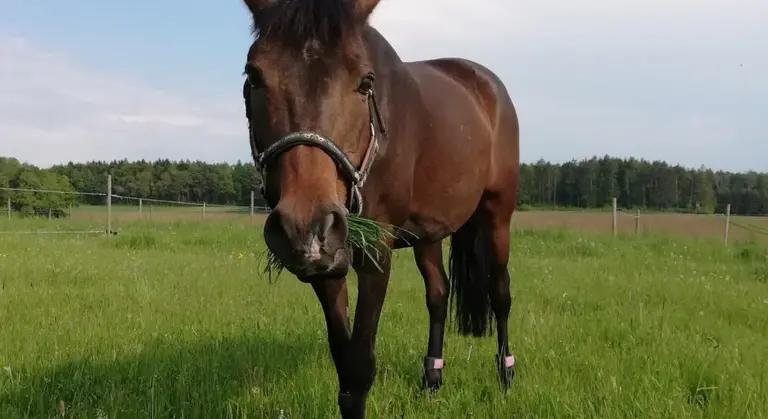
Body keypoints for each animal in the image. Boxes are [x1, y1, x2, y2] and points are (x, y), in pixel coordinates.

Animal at [240, 0, 520, 417]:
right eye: (254, 76)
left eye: (365, 82)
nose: (305, 226)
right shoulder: (328, 264)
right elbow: (345, 363)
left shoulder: (376, 253)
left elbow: (359, 369)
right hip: (427, 234)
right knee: (438, 295)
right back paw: (432, 379)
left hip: (498, 214)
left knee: (500, 292)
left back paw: (505, 375)